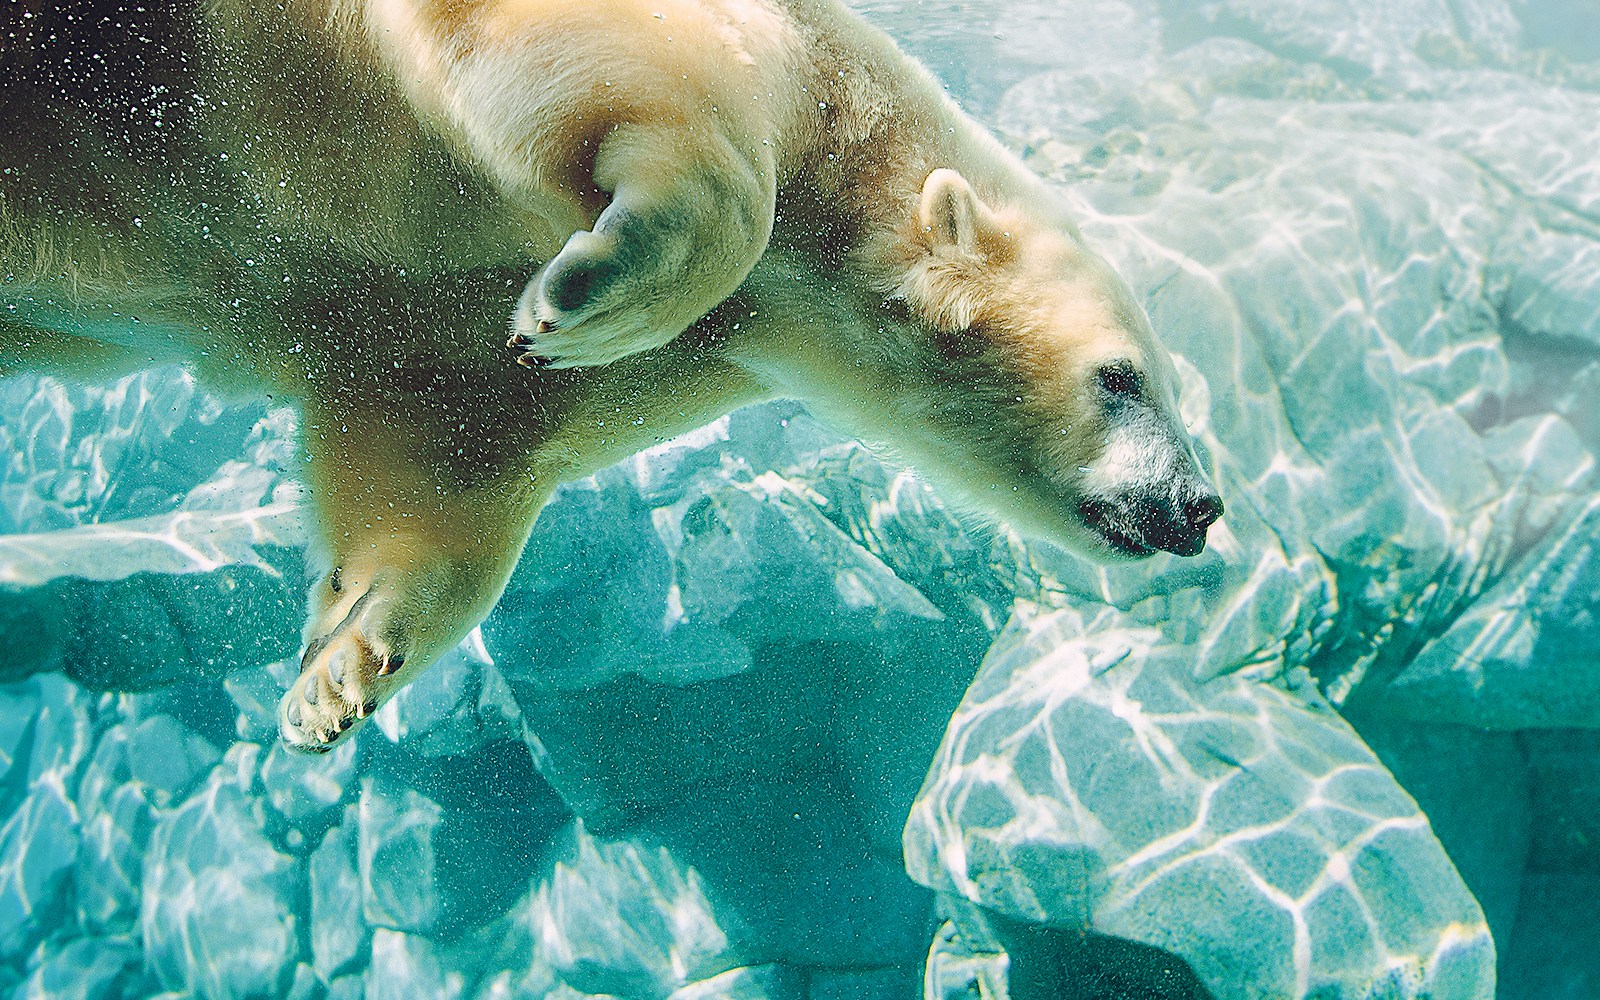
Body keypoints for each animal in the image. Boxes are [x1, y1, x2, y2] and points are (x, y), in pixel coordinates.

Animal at [3, 0, 1222, 748]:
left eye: (1159, 382)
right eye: (1122, 378)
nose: (1199, 505)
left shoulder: (472, 334)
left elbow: (442, 449)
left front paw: (338, 672)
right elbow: (622, 80)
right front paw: (587, 297)